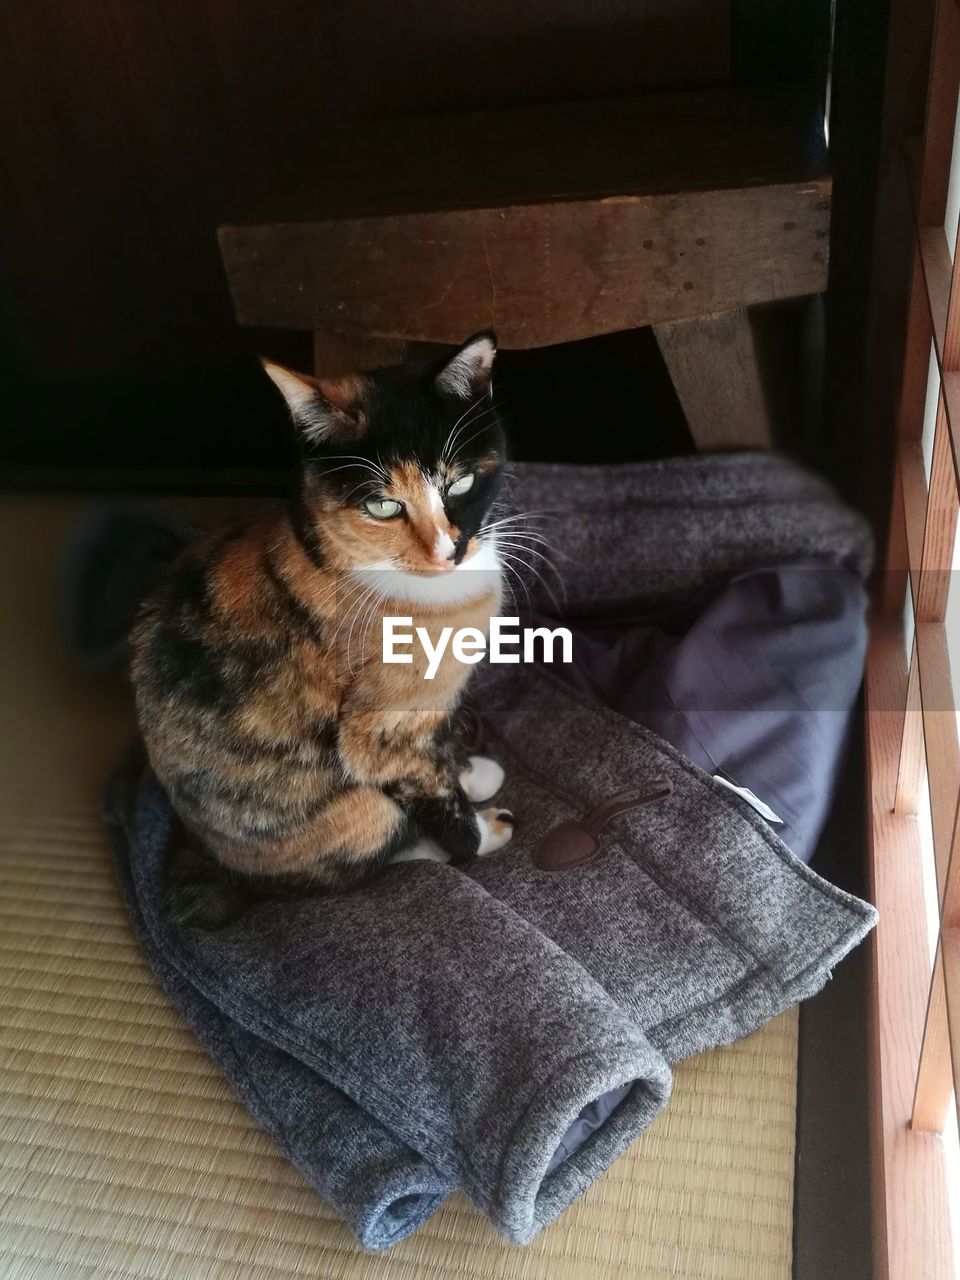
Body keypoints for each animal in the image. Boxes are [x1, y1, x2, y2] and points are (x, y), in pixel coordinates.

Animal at [133, 335, 519, 926]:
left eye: (462, 482)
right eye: (382, 505)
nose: (446, 551)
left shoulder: (427, 715)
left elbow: (441, 748)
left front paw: (470, 770)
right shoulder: (381, 734)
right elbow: (432, 792)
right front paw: (480, 828)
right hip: (355, 812)